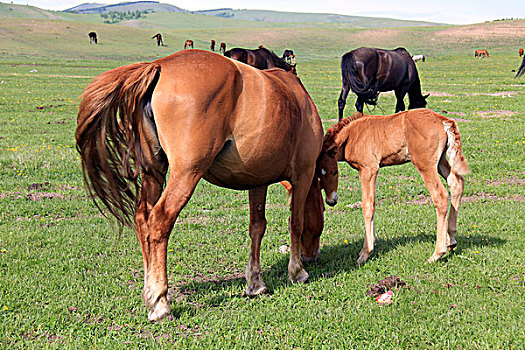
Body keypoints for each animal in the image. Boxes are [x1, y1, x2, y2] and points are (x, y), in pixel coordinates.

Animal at [75, 50, 330, 322]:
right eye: (322, 212)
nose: (312, 255)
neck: (295, 97)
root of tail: (158, 66)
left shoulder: (257, 181)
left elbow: (257, 227)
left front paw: (255, 283)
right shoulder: (303, 175)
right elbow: (296, 222)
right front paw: (297, 272)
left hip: (154, 170)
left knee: (143, 218)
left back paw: (149, 290)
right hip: (186, 173)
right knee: (160, 220)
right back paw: (161, 302)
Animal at [324, 109, 466, 266]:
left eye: (334, 172)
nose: (331, 201)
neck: (352, 136)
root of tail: (442, 120)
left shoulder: (369, 169)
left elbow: (368, 205)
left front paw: (365, 253)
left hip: (425, 164)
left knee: (440, 196)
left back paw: (437, 254)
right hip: (440, 161)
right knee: (456, 183)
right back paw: (451, 241)